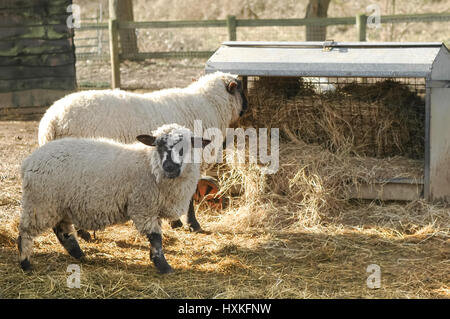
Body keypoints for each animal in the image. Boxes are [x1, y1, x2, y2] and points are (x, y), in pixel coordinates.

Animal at [18, 124, 211, 274]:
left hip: (59, 204)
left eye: (185, 147)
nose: (169, 167)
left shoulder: (152, 208)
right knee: (26, 233)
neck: (149, 164)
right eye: (158, 145)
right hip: (40, 202)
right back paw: (25, 263)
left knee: (62, 231)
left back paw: (80, 255)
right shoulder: (143, 207)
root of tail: (28, 161)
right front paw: (164, 267)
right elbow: (156, 238)